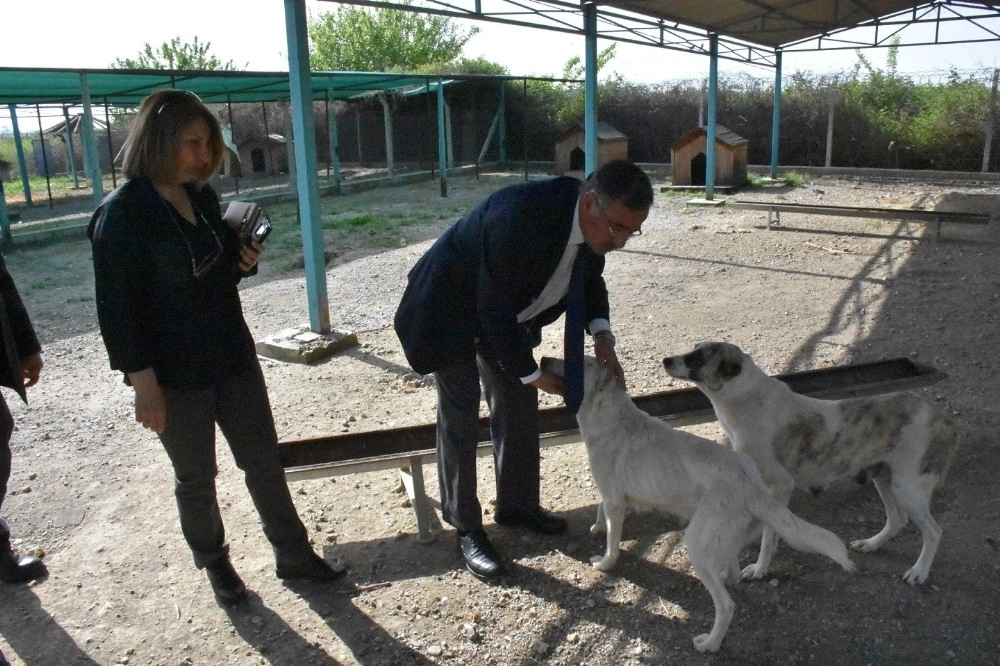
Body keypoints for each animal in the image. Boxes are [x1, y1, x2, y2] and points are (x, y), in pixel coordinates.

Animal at [540, 356, 852, 652]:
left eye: (576, 361)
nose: (542, 359)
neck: (609, 414)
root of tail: (748, 479)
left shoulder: (616, 500)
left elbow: (612, 541)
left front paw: (605, 562)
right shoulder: (611, 495)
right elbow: (600, 507)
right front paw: (597, 526)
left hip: (696, 544)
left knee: (726, 606)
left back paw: (710, 644)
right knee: (733, 572)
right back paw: (728, 576)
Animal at [660, 340, 956, 584]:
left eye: (697, 358)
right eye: (693, 349)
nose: (665, 360)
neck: (745, 402)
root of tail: (941, 415)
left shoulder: (780, 486)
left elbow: (768, 535)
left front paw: (760, 570)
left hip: (908, 487)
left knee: (934, 531)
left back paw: (919, 572)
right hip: (884, 478)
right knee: (897, 519)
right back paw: (872, 544)